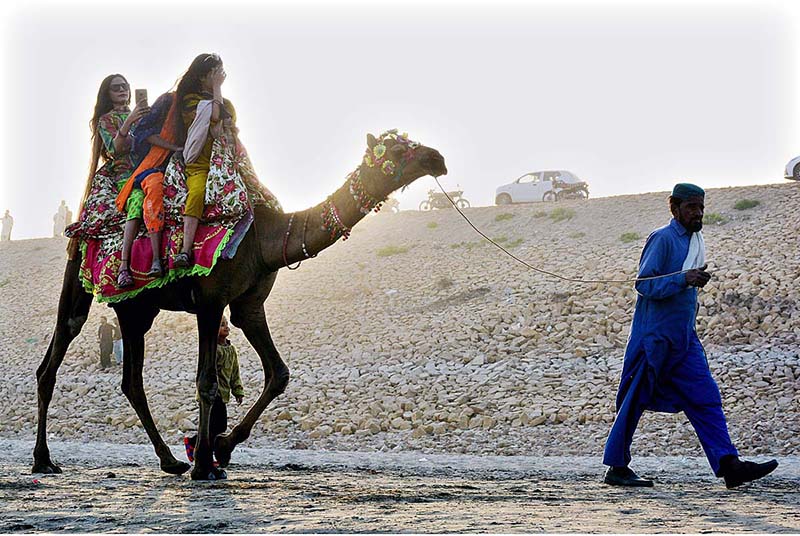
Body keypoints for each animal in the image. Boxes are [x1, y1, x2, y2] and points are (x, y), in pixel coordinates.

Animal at [32, 131, 444, 482]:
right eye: (396, 150)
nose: (436, 158)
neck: (265, 241)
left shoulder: (249, 306)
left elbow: (278, 373)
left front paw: (223, 447)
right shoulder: (211, 301)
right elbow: (207, 382)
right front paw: (205, 464)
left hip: (136, 310)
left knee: (131, 380)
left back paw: (169, 460)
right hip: (79, 279)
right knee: (55, 354)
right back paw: (43, 460)